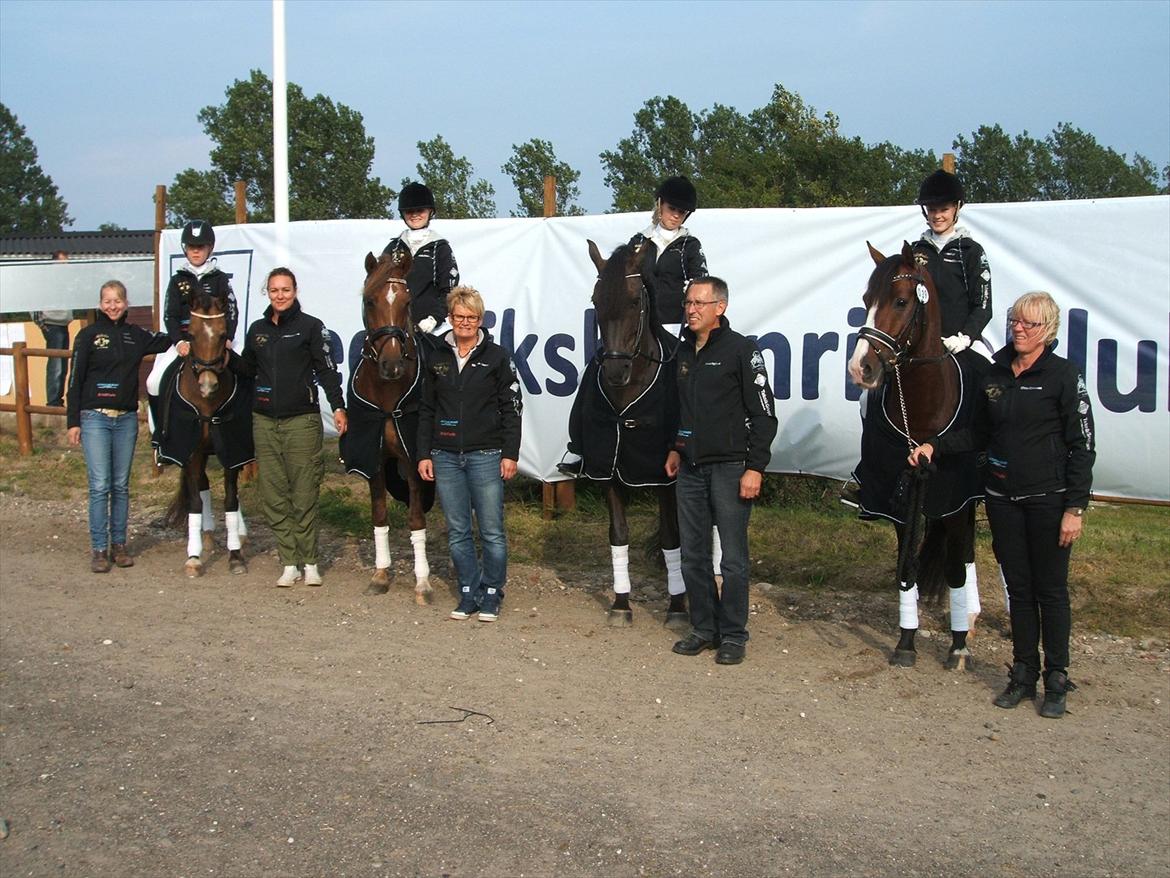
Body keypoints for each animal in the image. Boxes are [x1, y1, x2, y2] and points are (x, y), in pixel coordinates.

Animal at [163, 285, 250, 580]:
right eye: (190, 334)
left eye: (223, 335)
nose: (207, 384)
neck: (207, 405)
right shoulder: (191, 452)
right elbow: (195, 504)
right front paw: (194, 557)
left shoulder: (233, 450)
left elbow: (231, 499)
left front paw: (235, 555)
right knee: (201, 486)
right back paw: (208, 536)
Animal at [341, 248, 435, 604]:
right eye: (369, 301)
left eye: (407, 302)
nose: (392, 365)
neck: (387, 400)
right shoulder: (375, 459)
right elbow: (379, 514)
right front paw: (380, 574)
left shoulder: (414, 461)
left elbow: (416, 519)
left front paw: (423, 582)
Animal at [573, 237, 687, 627]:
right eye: (595, 299)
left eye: (635, 301)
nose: (614, 371)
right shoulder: (608, 468)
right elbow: (619, 534)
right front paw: (621, 603)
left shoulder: (664, 476)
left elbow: (671, 537)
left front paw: (677, 607)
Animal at [847, 241, 982, 664]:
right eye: (866, 300)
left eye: (902, 301)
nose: (860, 368)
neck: (923, 404)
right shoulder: (899, 493)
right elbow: (905, 563)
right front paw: (906, 640)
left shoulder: (955, 498)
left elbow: (956, 569)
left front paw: (958, 646)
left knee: (966, 555)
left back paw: (968, 621)